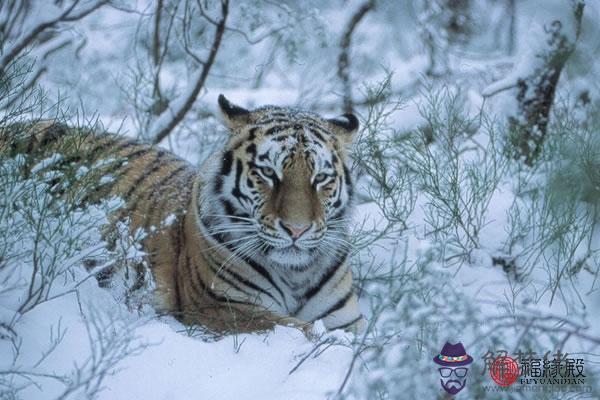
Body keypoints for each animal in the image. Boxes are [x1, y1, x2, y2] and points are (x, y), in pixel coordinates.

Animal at [2, 95, 366, 336]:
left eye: (320, 178)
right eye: (267, 173)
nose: (296, 230)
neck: (296, 273)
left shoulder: (345, 319)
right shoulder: (225, 307)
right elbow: (309, 332)